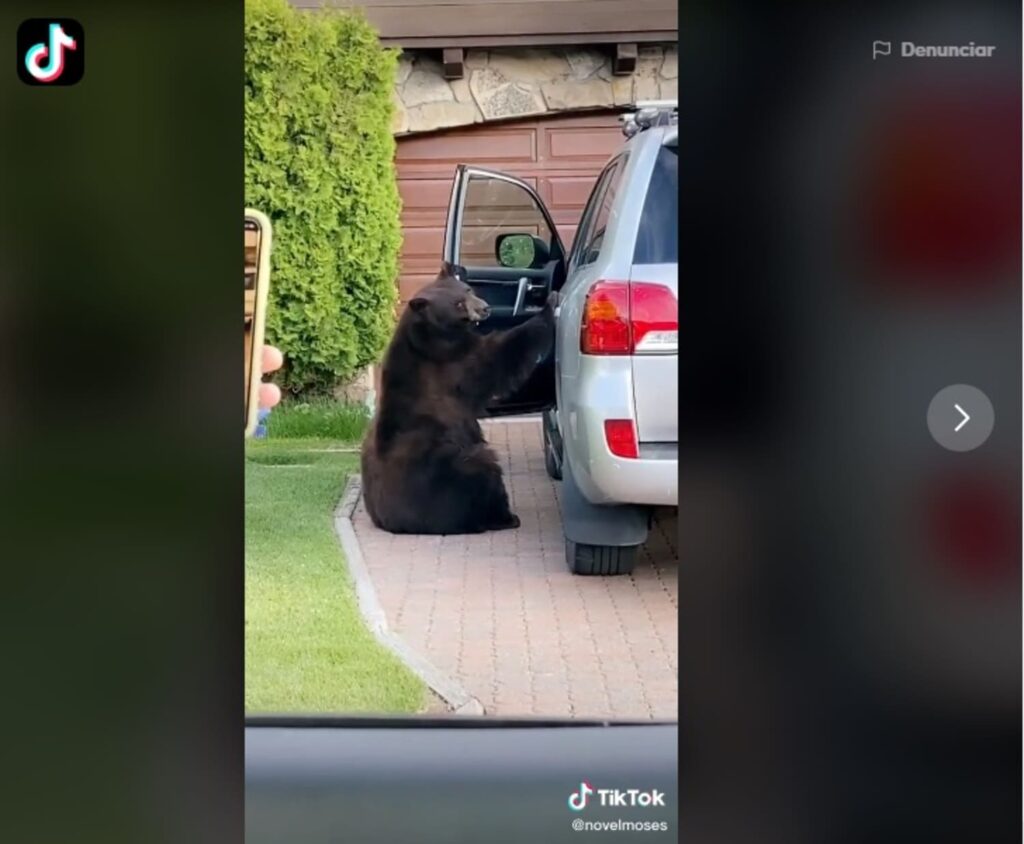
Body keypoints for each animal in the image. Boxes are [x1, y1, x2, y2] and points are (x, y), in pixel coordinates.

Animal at [361, 261, 556, 535]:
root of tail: (394, 522)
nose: (484, 308)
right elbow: (499, 354)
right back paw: (503, 517)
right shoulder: (451, 366)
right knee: (482, 469)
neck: (432, 337)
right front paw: (549, 305)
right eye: (458, 304)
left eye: (467, 289)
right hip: (445, 471)